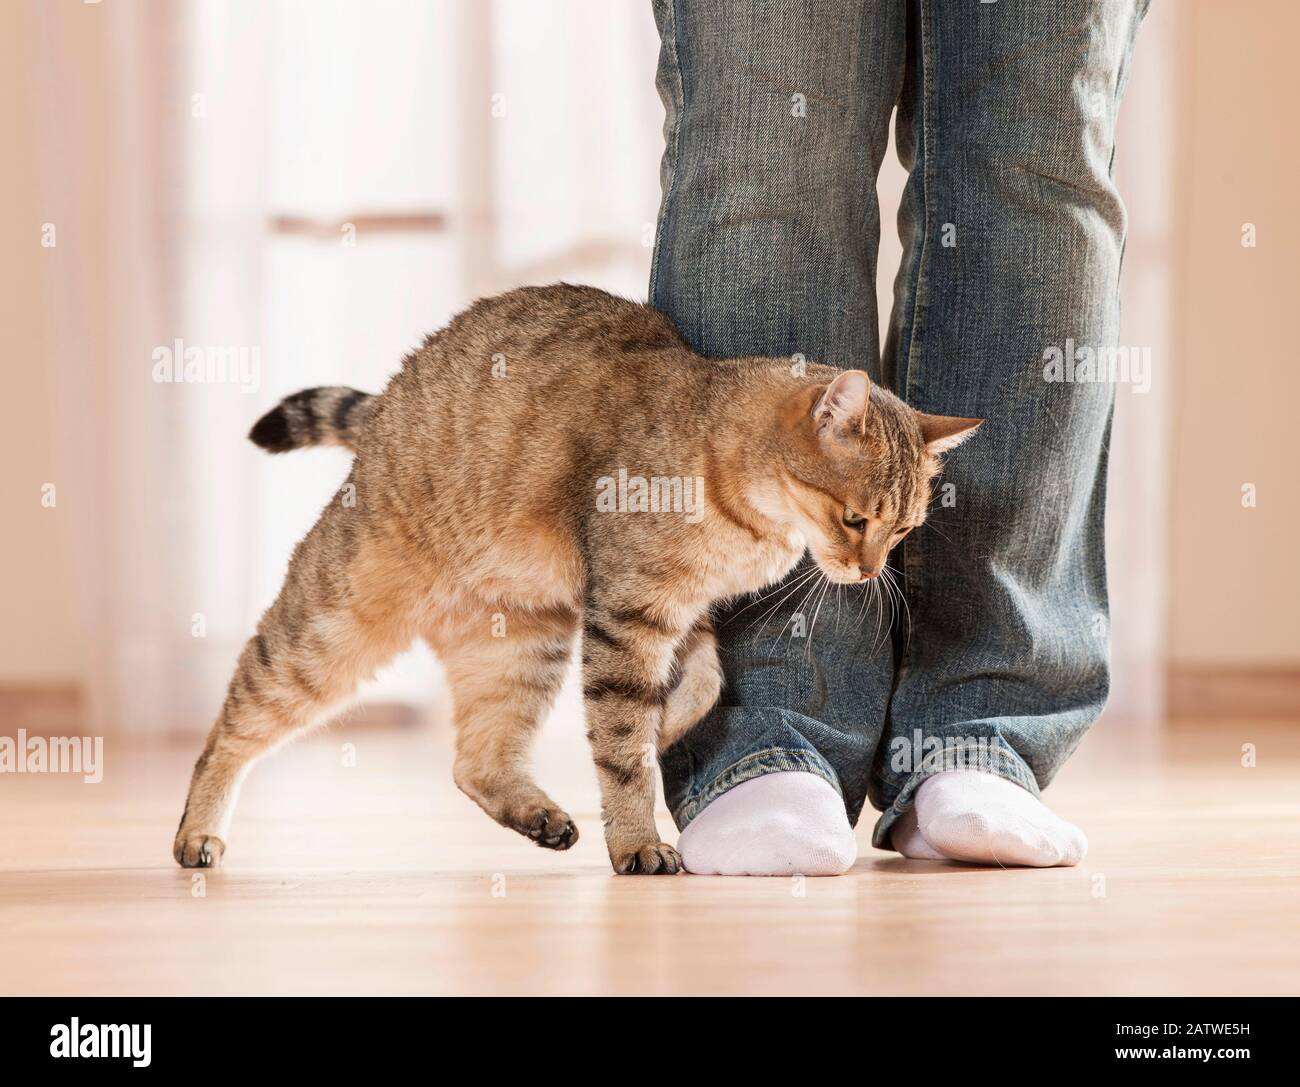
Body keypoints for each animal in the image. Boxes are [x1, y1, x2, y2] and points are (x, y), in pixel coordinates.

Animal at [175, 282, 982, 873]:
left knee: (475, 761)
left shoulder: (676, 613)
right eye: (855, 518)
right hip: (334, 623)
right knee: (231, 723)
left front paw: (666, 731)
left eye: (902, 529)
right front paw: (638, 837)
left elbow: (700, 686)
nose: (869, 570)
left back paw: (539, 815)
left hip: (518, 647)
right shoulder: (628, 613)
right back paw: (197, 830)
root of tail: (382, 413)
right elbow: (621, 748)